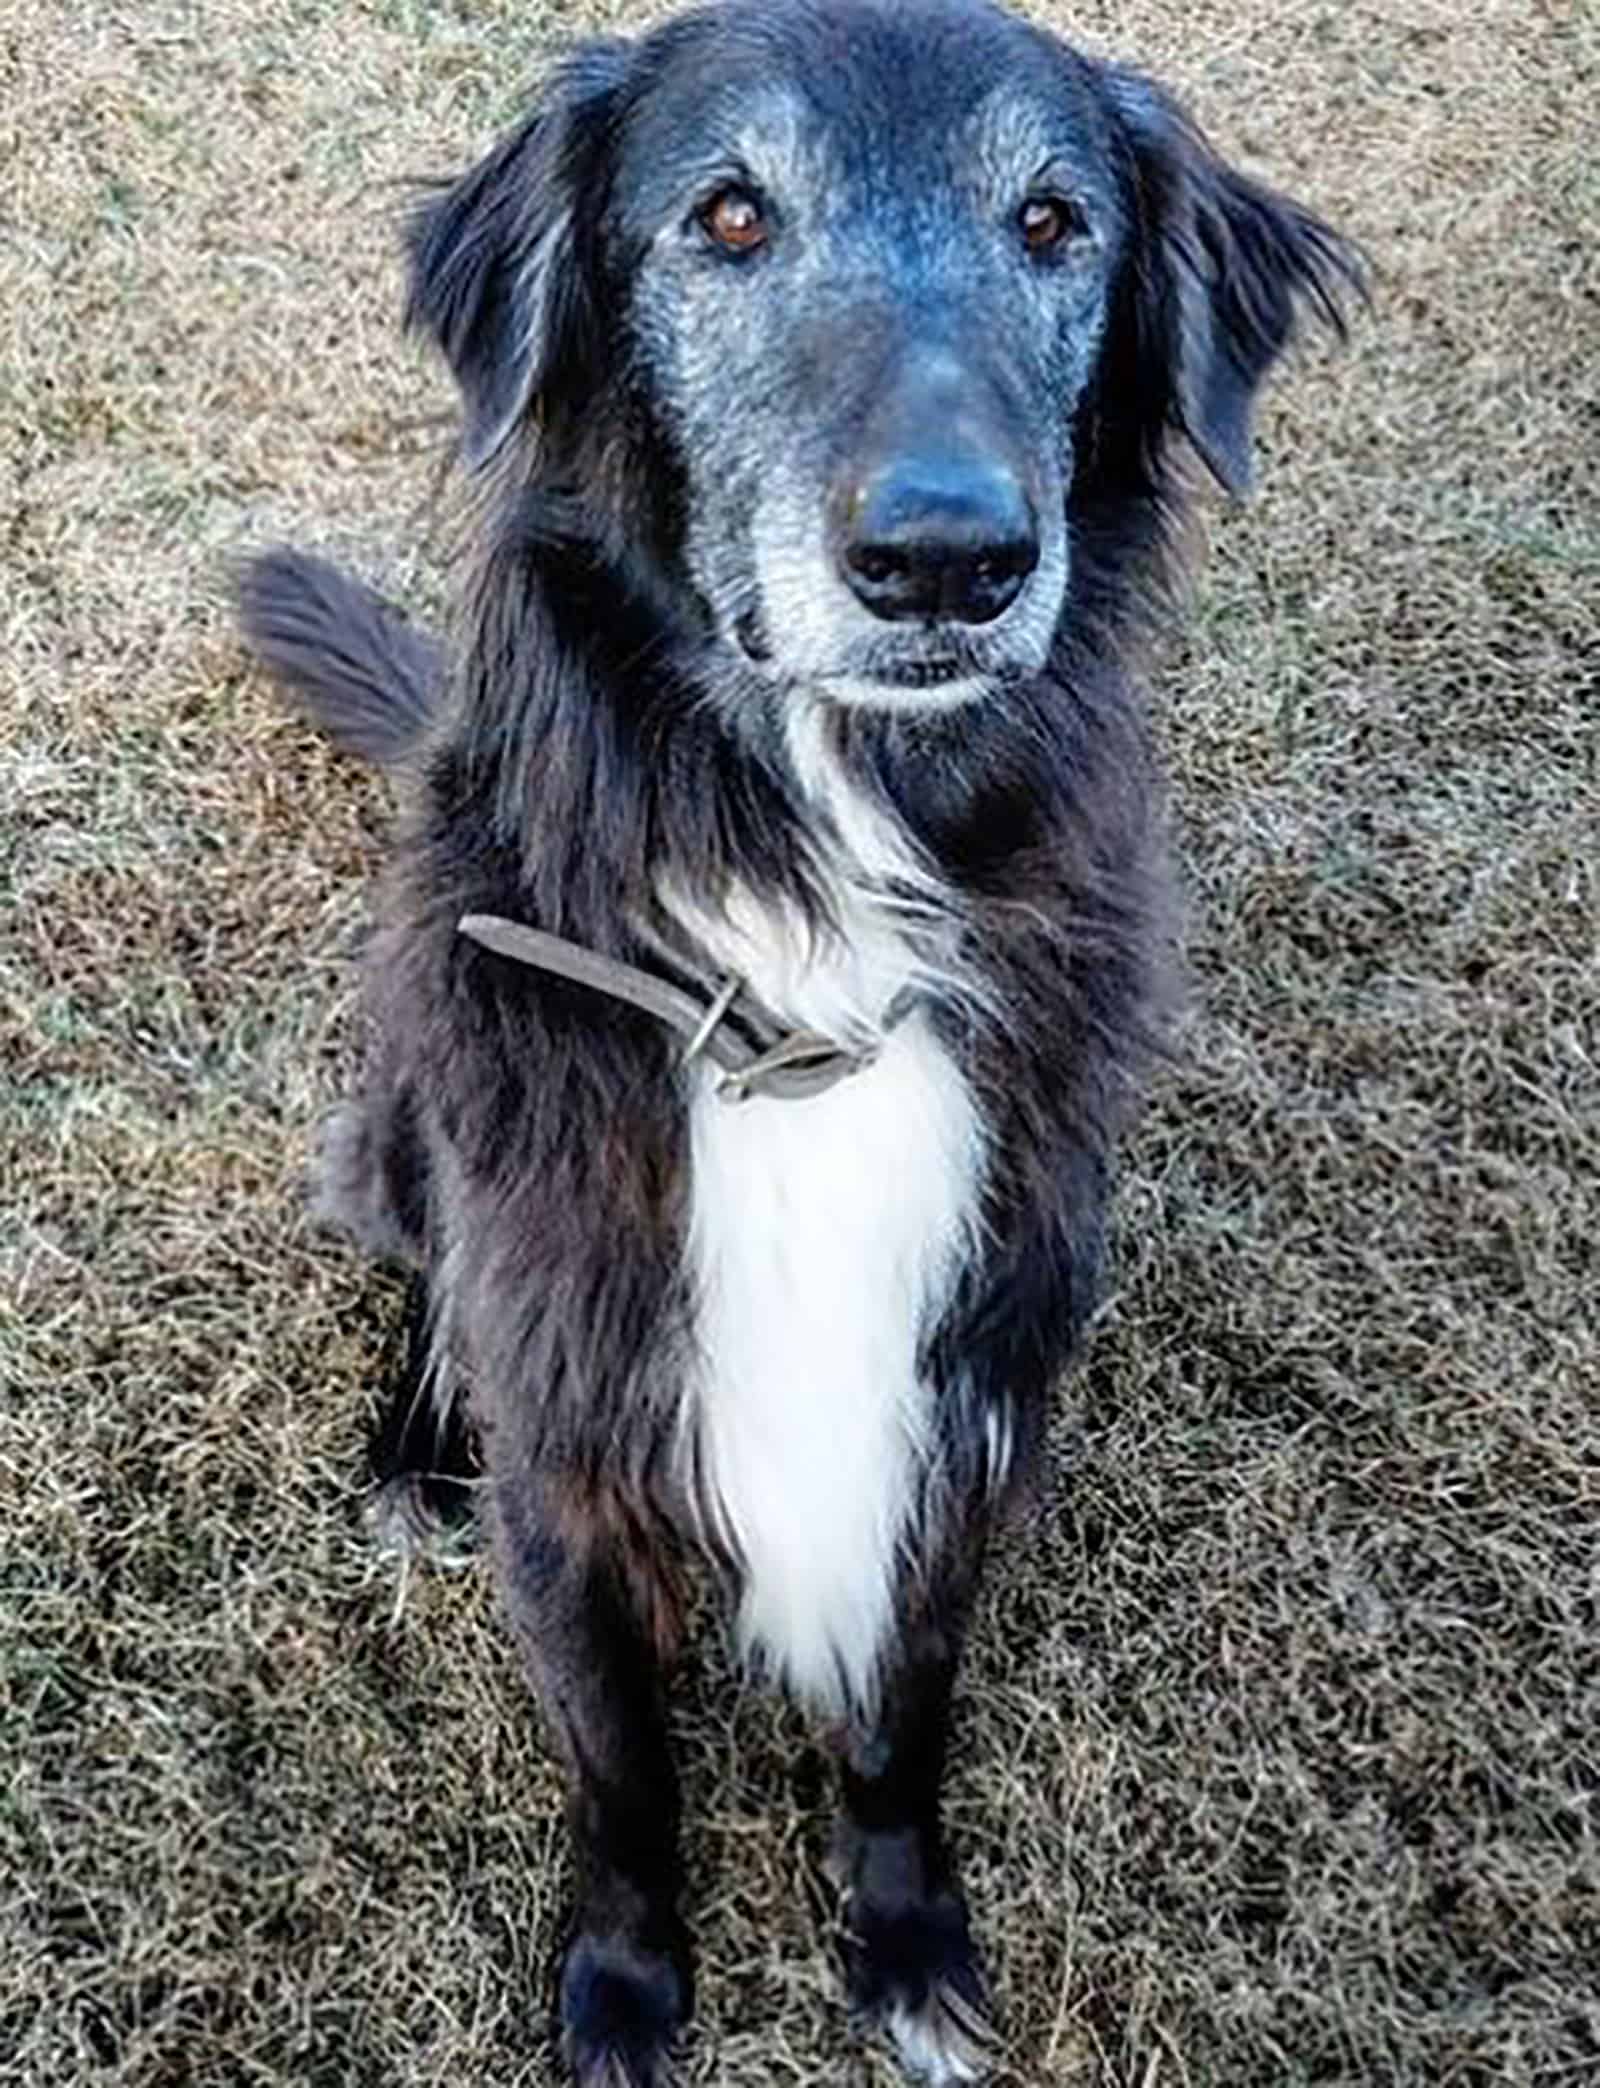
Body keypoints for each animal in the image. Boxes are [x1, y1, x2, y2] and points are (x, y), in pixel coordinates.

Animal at [241, 8, 1370, 2079]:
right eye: (730, 216)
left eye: (1052, 222)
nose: (947, 556)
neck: (806, 938)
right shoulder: (578, 1461)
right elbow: (623, 1776)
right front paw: (626, 1987)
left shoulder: (955, 1413)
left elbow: (900, 1739)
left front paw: (909, 1946)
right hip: (404, 1114)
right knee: (430, 1275)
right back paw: (418, 1436)